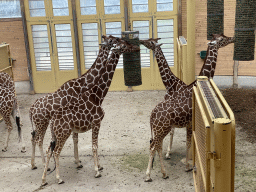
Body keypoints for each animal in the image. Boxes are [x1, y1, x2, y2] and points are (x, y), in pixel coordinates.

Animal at [29, 35, 121, 170]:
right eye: (111, 40)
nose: (118, 39)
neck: (81, 85)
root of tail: (31, 109)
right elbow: (75, 138)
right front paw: (79, 163)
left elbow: (75, 139)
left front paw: (78, 161)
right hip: (42, 123)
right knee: (38, 140)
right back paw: (44, 165)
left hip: (39, 124)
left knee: (33, 138)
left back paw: (34, 164)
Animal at [40, 38, 139, 186]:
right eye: (124, 44)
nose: (137, 47)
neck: (98, 95)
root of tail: (52, 121)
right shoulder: (96, 122)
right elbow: (94, 146)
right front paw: (97, 171)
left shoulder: (94, 124)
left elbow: (95, 145)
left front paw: (99, 166)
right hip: (63, 134)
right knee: (56, 152)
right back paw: (59, 178)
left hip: (54, 134)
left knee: (48, 150)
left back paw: (44, 179)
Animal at [141, 34, 235, 182]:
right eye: (222, 39)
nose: (232, 38)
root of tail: (152, 115)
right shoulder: (190, 123)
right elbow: (190, 142)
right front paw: (187, 166)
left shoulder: (190, 123)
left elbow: (191, 142)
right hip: (161, 129)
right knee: (153, 146)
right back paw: (149, 175)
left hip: (159, 130)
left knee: (157, 146)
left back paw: (164, 173)